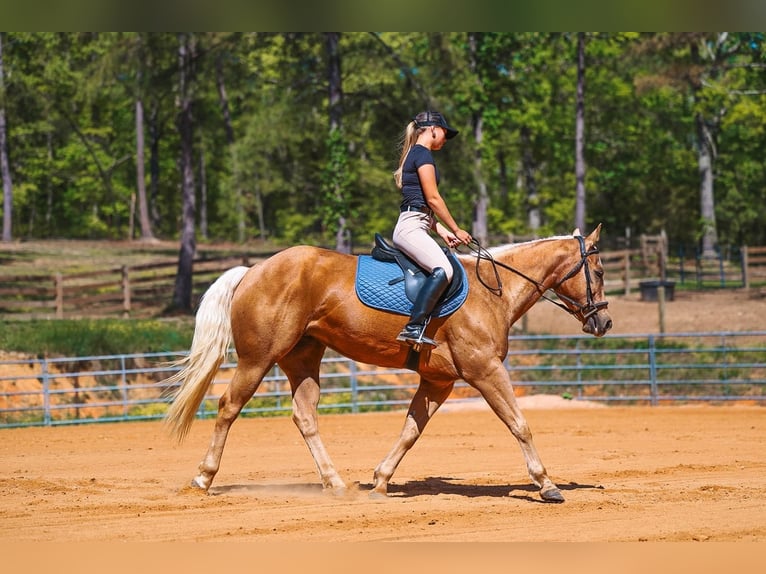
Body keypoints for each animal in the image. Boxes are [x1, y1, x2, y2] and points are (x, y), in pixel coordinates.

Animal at [162, 225, 612, 503]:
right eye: (600, 270)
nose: (604, 322)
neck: (492, 292)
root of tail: (253, 270)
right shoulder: (485, 371)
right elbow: (520, 424)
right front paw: (547, 485)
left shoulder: (438, 382)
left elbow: (410, 431)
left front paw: (380, 481)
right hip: (257, 360)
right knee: (228, 408)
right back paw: (202, 478)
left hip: (303, 358)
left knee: (304, 415)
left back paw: (336, 483)